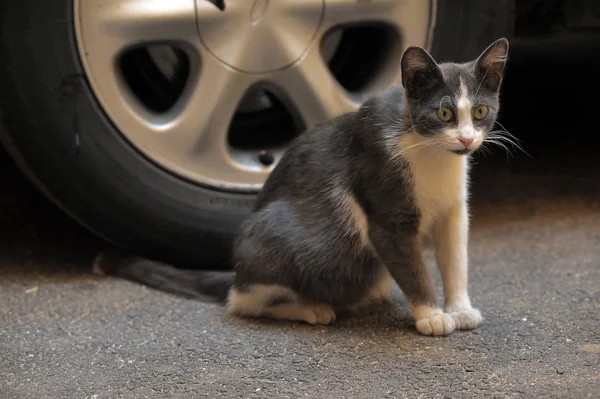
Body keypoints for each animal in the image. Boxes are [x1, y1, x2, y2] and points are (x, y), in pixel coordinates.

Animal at [95, 38, 510, 338]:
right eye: (444, 113)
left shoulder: (453, 211)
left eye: (480, 112)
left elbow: (455, 258)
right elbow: (411, 267)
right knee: (242, 301)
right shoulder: (385, 211)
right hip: (278, 236)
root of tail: (238, 270)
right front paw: (431, 315)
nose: (467, 139)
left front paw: (459, 308)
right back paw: (310, 308)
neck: (433, 156)